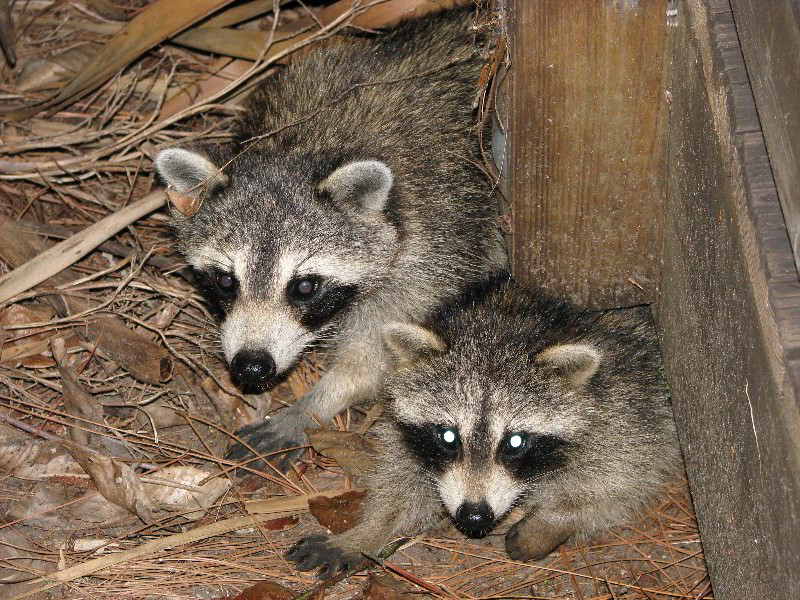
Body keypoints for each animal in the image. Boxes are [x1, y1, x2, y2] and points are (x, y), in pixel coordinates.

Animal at [152, 8, 506, 464]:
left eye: (304, 287)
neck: (305, 144)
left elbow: (382, 352)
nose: (252, 366)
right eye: (226, 280)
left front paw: (318, 402)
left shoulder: (438, 243)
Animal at [288, 276, 680, 576]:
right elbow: (402, 481)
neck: (502, 324)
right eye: (448, 437)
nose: (474, 516)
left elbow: (622, 482)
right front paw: (368, 531)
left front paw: (555, 520)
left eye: (516, 442)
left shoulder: (629, 407)